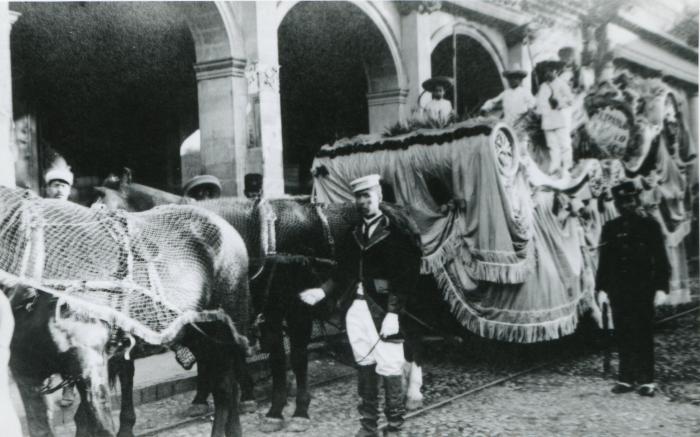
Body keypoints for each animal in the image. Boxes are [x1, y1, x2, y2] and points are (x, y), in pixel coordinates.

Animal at [0, 186, 252, 436]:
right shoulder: (26, 374)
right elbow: (42, 427)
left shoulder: (90, 366)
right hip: (194, 334)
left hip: (223, 331)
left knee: (227, 387)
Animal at [93, 169, 432, 430]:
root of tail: (399, 210)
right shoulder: (262, 311)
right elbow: (272, 359)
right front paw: (270, 408)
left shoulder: (294, 310)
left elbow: (295, 357)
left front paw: (297, 411)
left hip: (403, 292)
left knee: (410, 331)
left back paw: (413, 390)